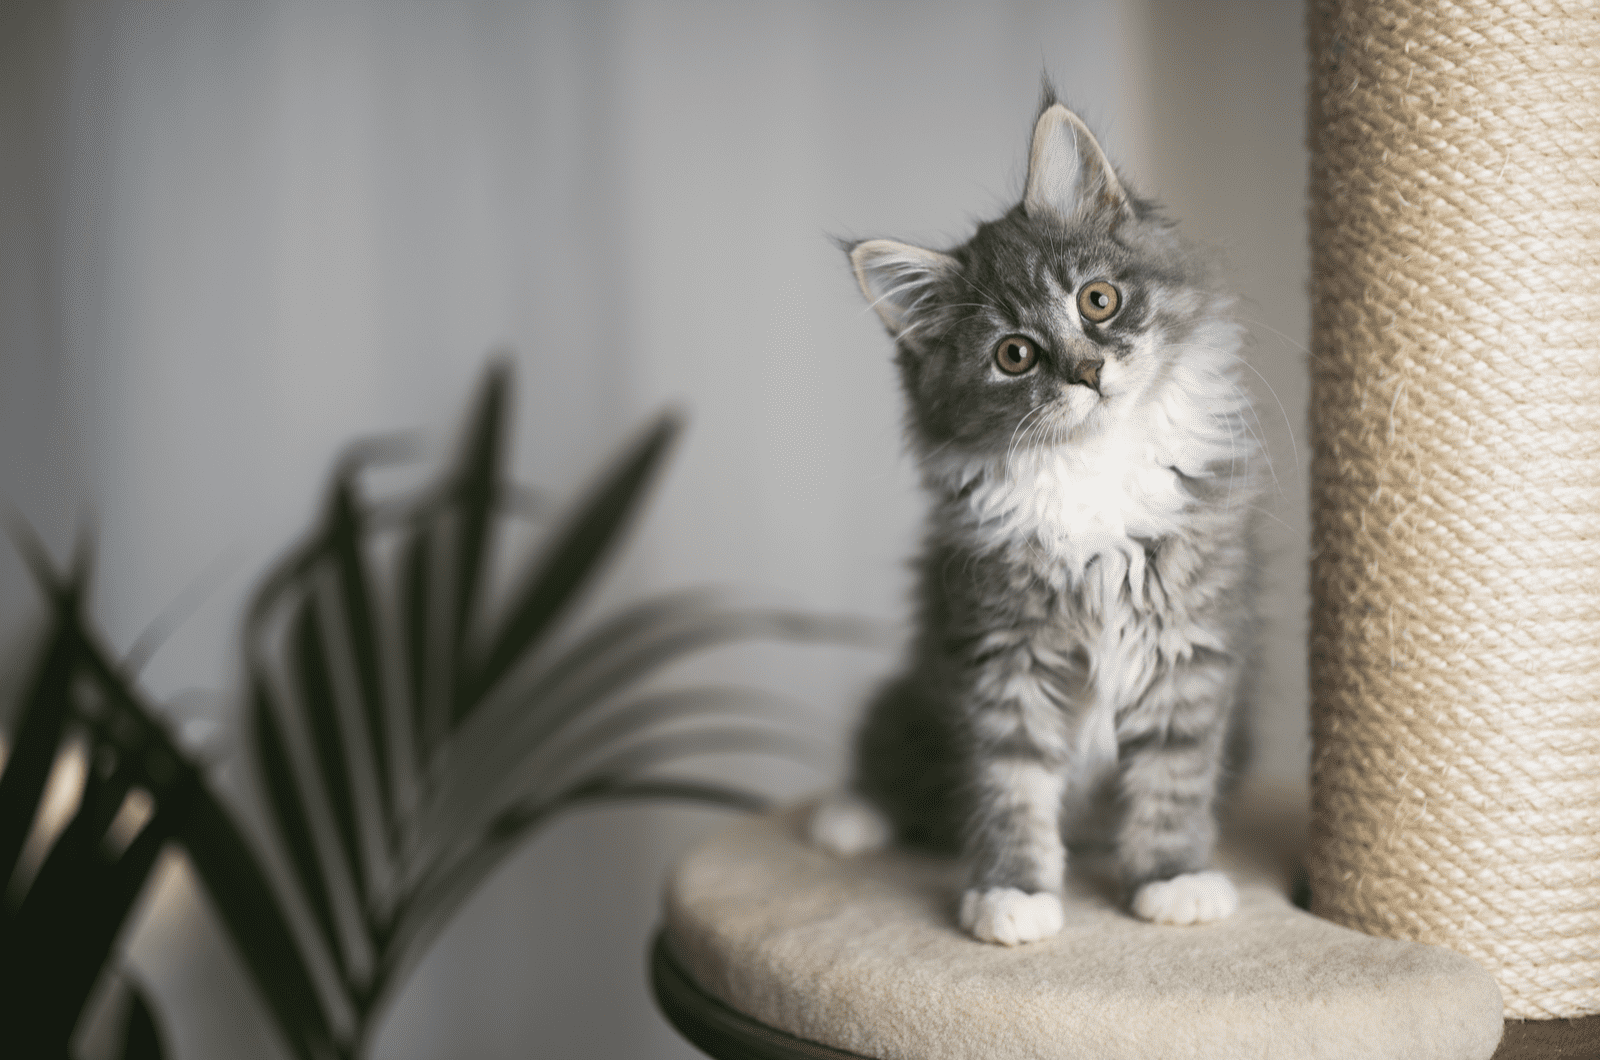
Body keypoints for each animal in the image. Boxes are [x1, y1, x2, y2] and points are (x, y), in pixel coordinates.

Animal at [812, 93, 1260, 947]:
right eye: (1014, 355)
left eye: (1098, 299)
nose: (1088, 372)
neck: (1090, 468)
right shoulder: (1000, 651)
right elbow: (1009, 783)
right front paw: (1012, 893)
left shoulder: (1188, 642)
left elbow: (1175, 773)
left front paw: (1173, 877)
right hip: (909, 695)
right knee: (892, 768)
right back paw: (848, 817)